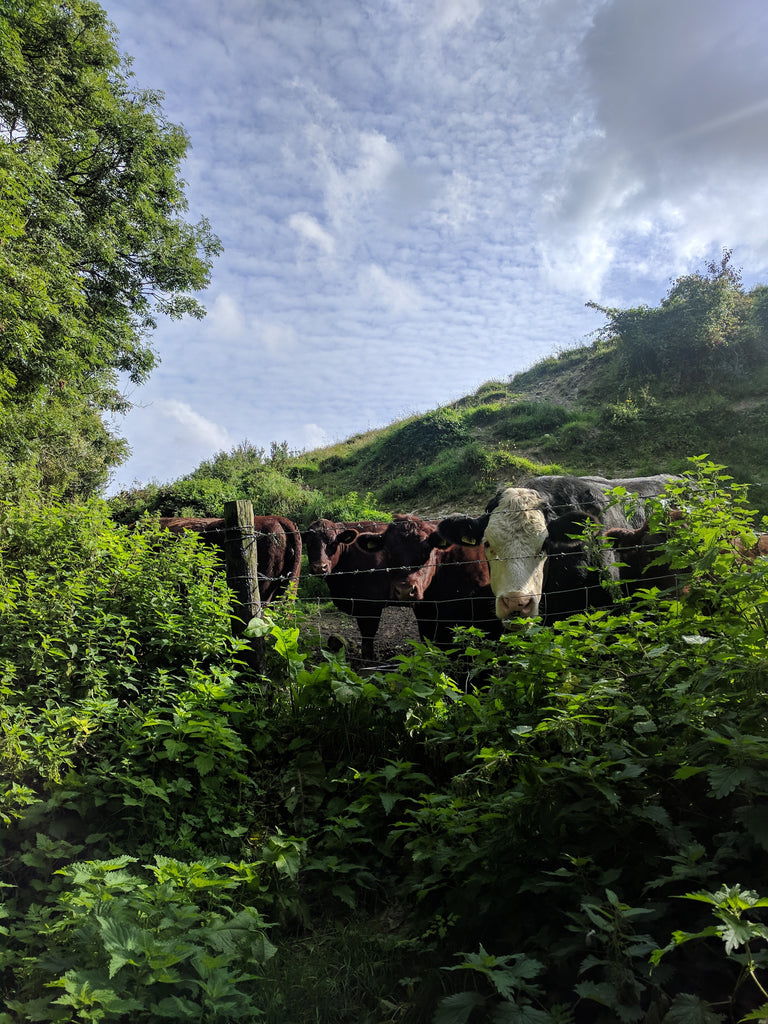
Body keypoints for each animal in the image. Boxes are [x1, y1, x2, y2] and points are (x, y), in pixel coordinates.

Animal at [301, 520, 393, 663]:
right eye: (309, 543)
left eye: (333, 543)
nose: (319, 567)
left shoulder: (371, 604)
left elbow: (368, 632)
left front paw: (368, 658)